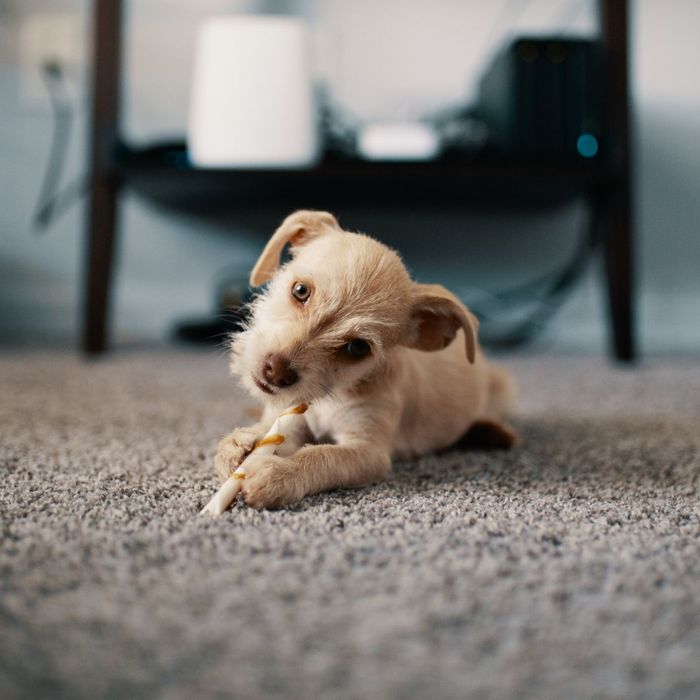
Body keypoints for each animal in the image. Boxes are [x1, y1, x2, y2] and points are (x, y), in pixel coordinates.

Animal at [213, 209, 516, 508]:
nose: (275, 373)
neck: (329, 397)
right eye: (300, 291)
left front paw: (279, 473)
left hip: (501, 385)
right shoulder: (289, 420)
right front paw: (240, 444)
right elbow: (270, 433)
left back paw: (491, 431)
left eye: (358, 348)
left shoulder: (368, 451)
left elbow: (322, 456)